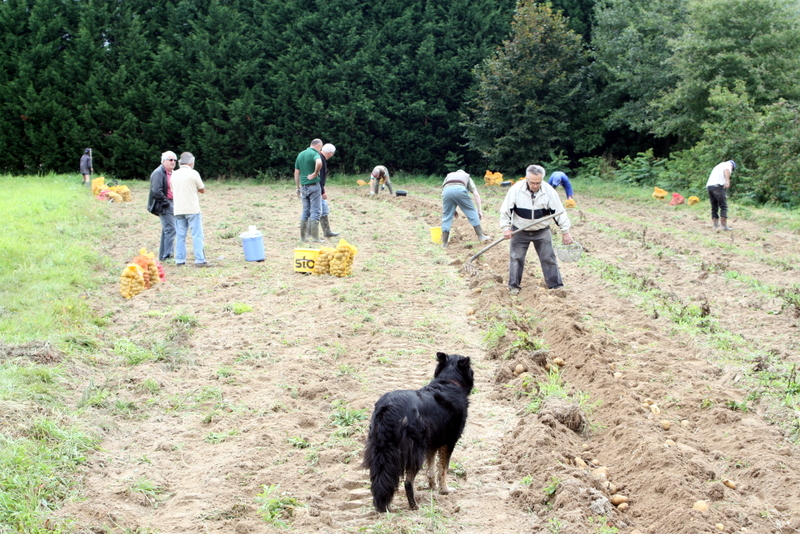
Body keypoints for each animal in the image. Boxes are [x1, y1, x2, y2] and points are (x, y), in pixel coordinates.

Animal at [364, 354, 476, 512]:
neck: (449, 381)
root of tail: (389, 408)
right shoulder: (449, 441)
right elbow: (443, 469)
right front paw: (445, 490)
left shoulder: (432, 443)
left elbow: (431, 469)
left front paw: (432, 487)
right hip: (415, 451)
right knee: (408, 482)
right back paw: (414, 506)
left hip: (379, 448)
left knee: (378, 478)